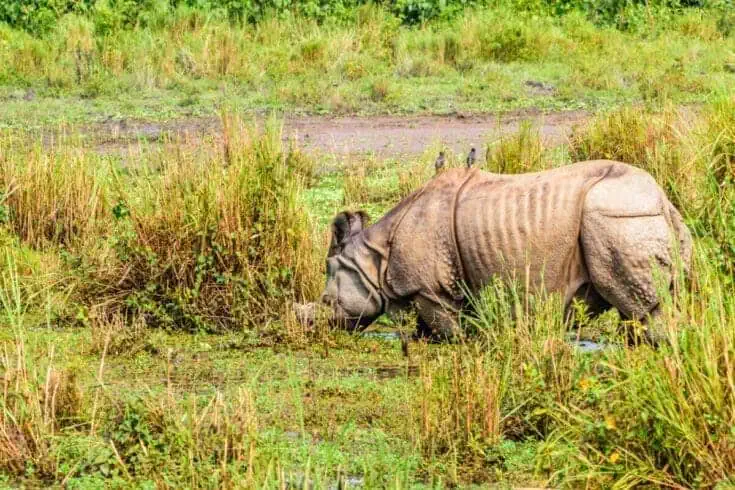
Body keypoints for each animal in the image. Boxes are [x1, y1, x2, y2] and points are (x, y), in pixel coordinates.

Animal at [321, 160, 692, 342]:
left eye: (326, 301)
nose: (318, 326)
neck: (374, 257)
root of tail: (662, 200)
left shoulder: (430, 290)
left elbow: (446, 328)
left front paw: (459, 343)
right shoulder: (436, 288)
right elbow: (426, 329)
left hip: (616, 217)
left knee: (642, 308)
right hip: (642, 219)